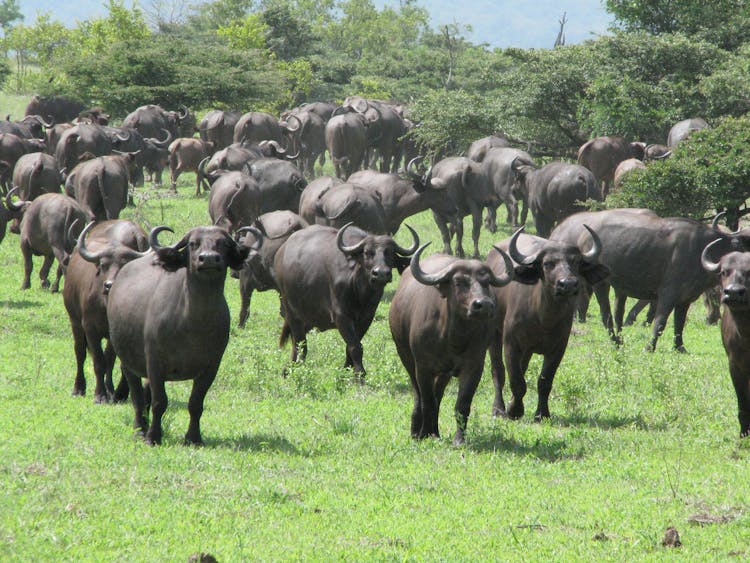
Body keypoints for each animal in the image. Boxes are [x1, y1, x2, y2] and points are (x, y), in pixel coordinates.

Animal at [63, 221, 150, 406]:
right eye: (103, 265)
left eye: (124, 264)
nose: (110, 285)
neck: (105, 305)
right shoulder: (89, 328)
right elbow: (98, 360)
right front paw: (100, 395)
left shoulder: (113, 332)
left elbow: (108, 359)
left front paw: (108, 392)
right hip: (75, 320)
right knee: (79, 352)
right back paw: (78, 388)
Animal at [107, 225, 253, 446]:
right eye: (193, 243)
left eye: (224, 244)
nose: (208, 259)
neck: (193, 323)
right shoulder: (155, 363)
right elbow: (159, 402)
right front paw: (153, 436)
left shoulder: (211, 367)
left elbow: (196, 403)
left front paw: (193, 438)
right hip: (128, 361)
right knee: (137, 395)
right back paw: (140, 428)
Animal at [274, 224, 420, 378]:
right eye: (367, 252)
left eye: (390, 253)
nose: (380, 274)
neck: (359, 291)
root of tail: (280, 252)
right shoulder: (341, 316)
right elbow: (355, 347)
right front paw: (360, 375)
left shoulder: (366, 318)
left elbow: (352, 346)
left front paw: (346, 372)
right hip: (291, 311)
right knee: (300, 343)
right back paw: (292, 369)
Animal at [390, 242, 516, 446]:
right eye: (459, 282)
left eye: (486, 282)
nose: (484, 305)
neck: (453, 338)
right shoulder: (422, 367)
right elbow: (426, 402)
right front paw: (424, 434)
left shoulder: (474, 367)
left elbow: (462, 405)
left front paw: (458, 439)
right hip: (406, 358)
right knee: (418, 395)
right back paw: (417, 430)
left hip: (444, 373)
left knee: (438, 394)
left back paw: (434, 430)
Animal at [490, 228, 612, 418]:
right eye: (547, 263)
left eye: (576, 262)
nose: (567, 284)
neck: (543, 319)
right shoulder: (511, 344)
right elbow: (516, 380)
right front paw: (514, 410)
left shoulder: (558, 348)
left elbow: (544, 381)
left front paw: (541, 413)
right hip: (494, 334)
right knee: (498, 370)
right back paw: (498, 408)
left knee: (523, 367)